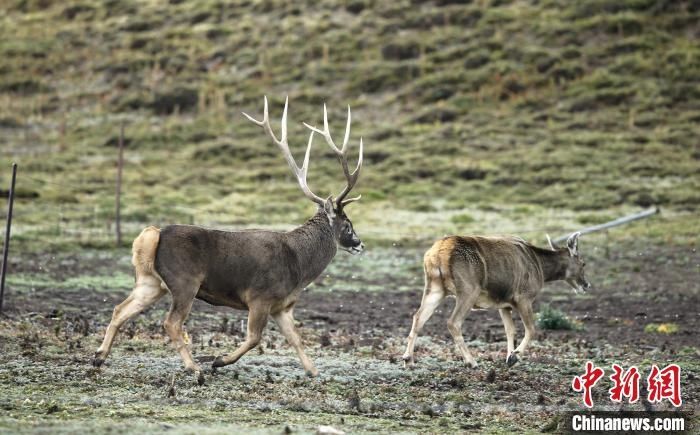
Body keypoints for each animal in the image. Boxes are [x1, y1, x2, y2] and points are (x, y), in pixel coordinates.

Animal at [93, 97, 364, 384]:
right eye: (348, 224)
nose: (360, 244)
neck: (300, 265)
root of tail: (153, 235)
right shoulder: (260, 296)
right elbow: (255, 337)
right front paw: (218, 360)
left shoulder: (282, 306)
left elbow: (296, 339)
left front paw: (313, 371)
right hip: (185, 281)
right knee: (171, 322)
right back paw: (194, 368)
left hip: (150, 282)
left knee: (120, 309)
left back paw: (99, 357)